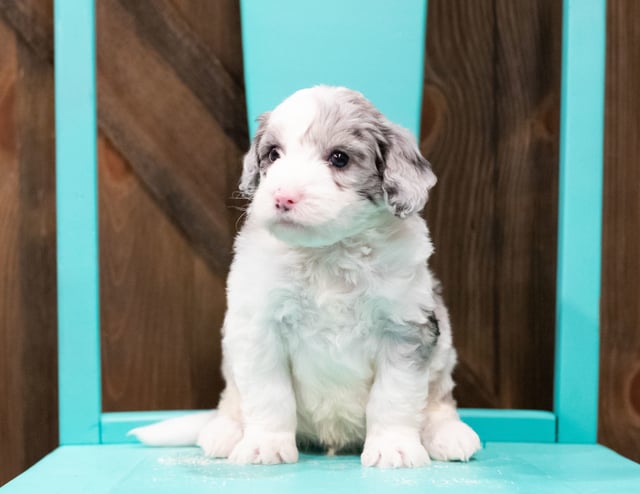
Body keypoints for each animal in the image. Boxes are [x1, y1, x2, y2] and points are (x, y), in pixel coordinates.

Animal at [131, 87, 480, 468]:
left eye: (339, 158)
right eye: (273, 154)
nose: (283, 197)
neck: (328, 254)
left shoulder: (405, 329)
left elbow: (394, 397)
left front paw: (394, 447)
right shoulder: (259, 328)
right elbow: (270, 395)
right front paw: (265, 445)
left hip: (443, 358)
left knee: (439, 402)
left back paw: (448, 434)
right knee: (232, 402)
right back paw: (224, 431)